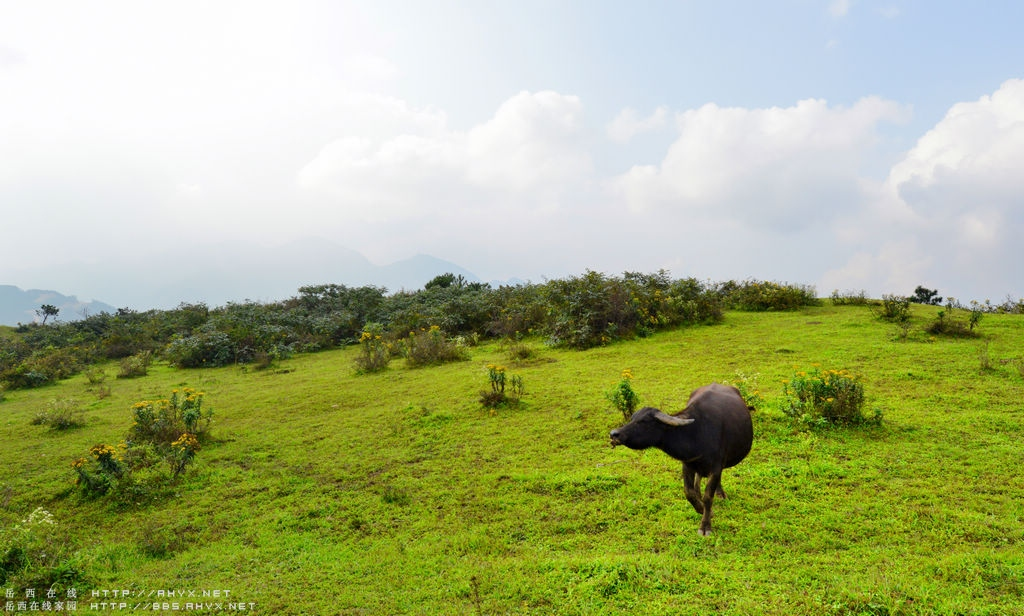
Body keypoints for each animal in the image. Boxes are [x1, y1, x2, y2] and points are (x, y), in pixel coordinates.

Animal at [606, 380, 753, 536]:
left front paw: (705, 525)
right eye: (632, 418)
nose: (614, 434)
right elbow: (689, 492)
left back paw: (719, 493)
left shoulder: (715, 467)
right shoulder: (687, 464)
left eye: (643, 421)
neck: (696, 433)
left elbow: (708, 497)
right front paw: (700, 508)